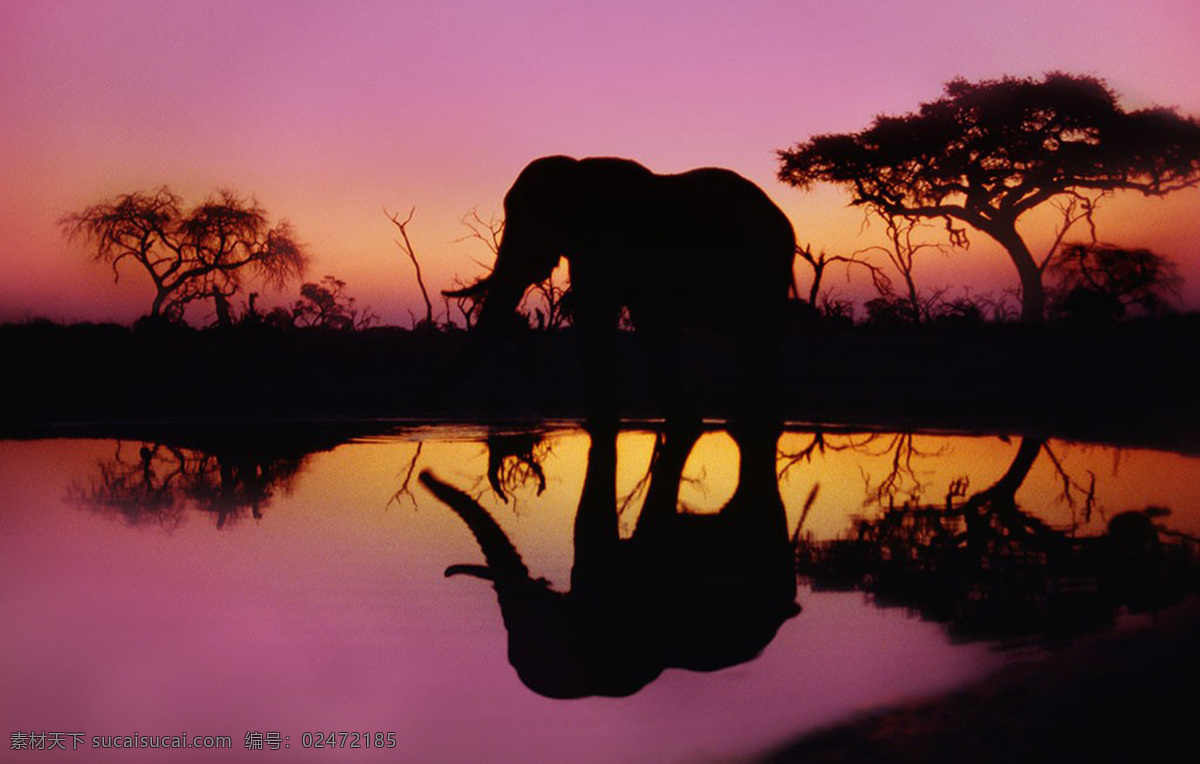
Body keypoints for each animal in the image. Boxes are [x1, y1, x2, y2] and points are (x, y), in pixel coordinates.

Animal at [444, 155, 797, 419]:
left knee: (759, 331)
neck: (577, 172)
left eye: (534, 221)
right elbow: (597, 315)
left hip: (766, 264)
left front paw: (682, 417)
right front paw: (603, 418)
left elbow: (638, 319)